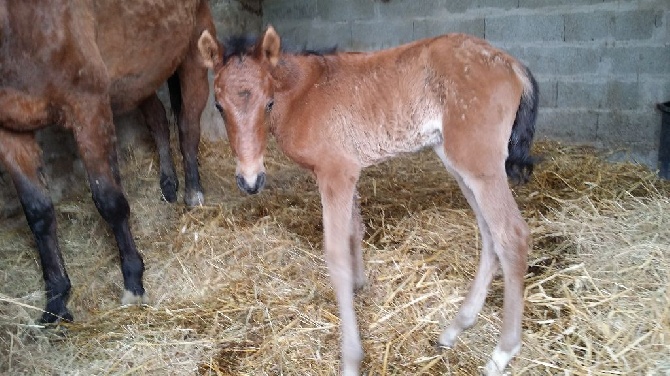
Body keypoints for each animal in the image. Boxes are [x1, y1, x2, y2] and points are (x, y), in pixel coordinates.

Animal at [0, 0, 214, 324]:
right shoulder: (12, 130)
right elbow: (38, 214)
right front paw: (56, 301)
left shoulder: (88, 109)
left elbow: (110, 202)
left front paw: (134, 284)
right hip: (142, 77)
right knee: (158, 119)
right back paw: (168, 184)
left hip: (194, 52)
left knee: (188, 127)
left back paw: (193, 194)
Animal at [198, 25, 540, 374]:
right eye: (219, 106)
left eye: (268, 103)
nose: (250, 180)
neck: (304, 94)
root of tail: (511, 63)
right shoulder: (348, 171)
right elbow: (355, 229)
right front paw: (358, 283)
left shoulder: (335, 172)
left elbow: (336, 255)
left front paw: (351, 358)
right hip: (460, 165)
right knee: (489, 235)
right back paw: (456, 327)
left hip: (478, 164)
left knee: (511, 235)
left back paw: (502, 353)